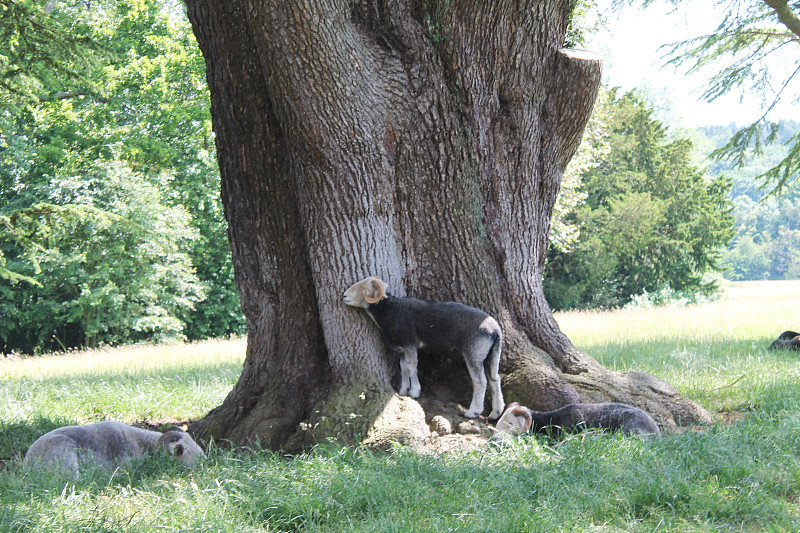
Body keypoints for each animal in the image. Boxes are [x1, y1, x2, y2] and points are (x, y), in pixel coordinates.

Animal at [340, 274, 504, 420]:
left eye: (364, 289)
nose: (344, 296)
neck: (390, 310)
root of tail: (496, 331)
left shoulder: (410, 344)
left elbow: (412, 367)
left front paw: (415, 391)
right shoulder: (402, 348)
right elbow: (403, 367)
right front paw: (403, 390)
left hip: (474, 353)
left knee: (480, 382)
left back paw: (473, 412)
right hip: (489, 354)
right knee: (495, 379)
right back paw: (496, 413)